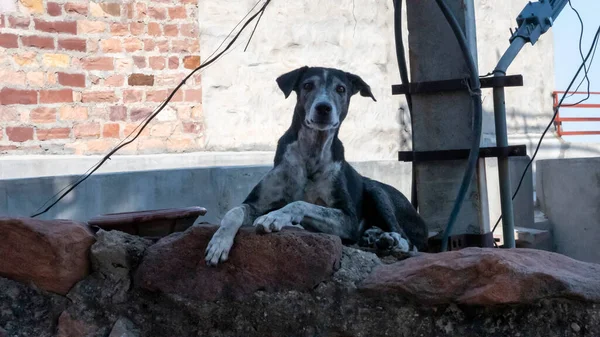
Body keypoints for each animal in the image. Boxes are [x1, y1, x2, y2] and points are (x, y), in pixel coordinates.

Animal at [204, 65, 428, 266]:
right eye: (308, 85)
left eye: (341, 89)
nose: (323, 107)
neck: (312, 153)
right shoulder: (255, 203)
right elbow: (234, 212)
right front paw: (219, 242)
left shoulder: (347, 220)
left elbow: (301, 204)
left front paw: (275, 216)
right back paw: (373, 236)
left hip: (376, 190)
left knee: (408, 240)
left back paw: (389, 239)